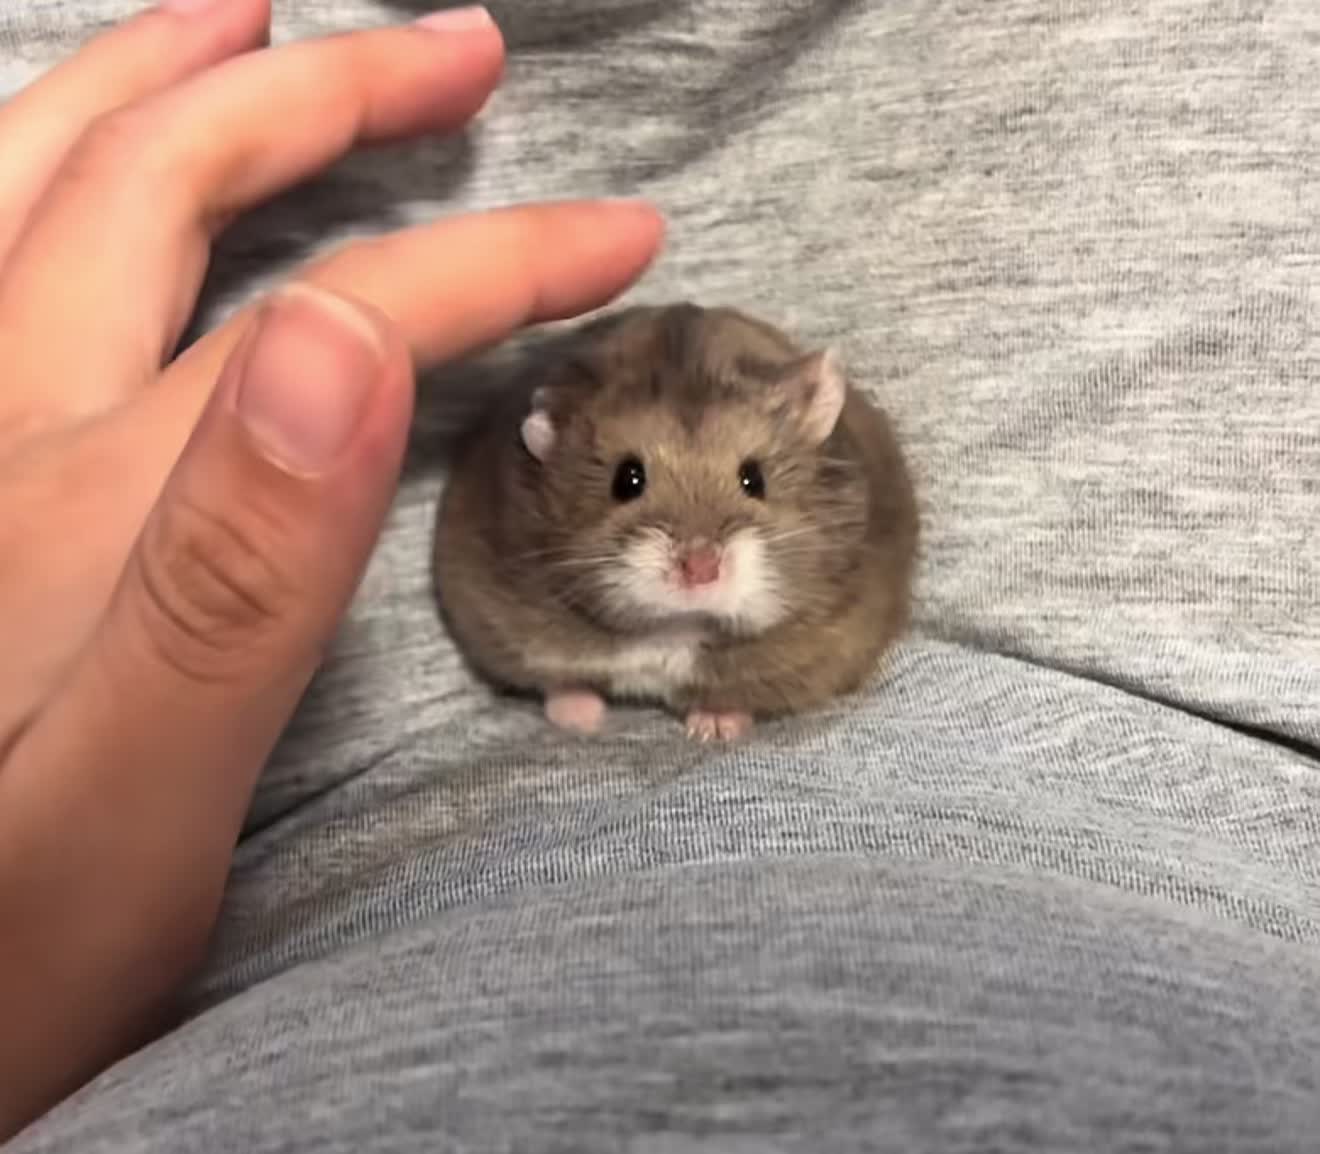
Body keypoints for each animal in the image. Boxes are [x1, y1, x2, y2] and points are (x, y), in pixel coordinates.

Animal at [432, 302, 918, 741]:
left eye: (754, 479)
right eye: (627, 480)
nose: (700, 569)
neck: (675, 626)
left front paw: (712, 730)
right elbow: (558, 680)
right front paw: (580, 720)